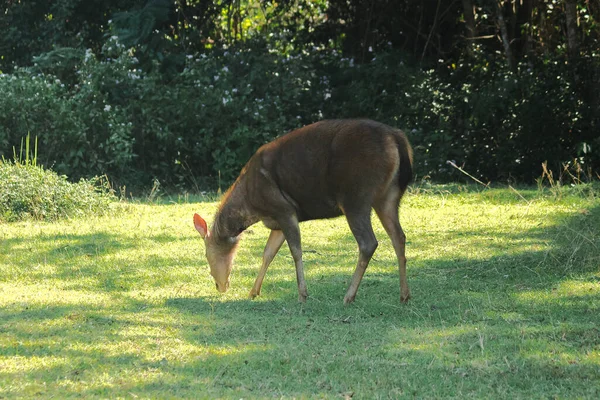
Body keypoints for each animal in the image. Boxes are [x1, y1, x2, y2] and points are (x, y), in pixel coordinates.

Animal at [192, 118, 412, 304]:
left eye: (206, 255)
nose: (219, 286)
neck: (252, 207)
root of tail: (397, 139)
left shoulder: (284, 209)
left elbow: (296, 251)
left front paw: (302, 294)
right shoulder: (277, 221)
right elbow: (268, 253)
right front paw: (253, 292)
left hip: (356, 196)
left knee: (368, 242)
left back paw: (348, 296)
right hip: (389, 195)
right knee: (399, 236)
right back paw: (404, 295)